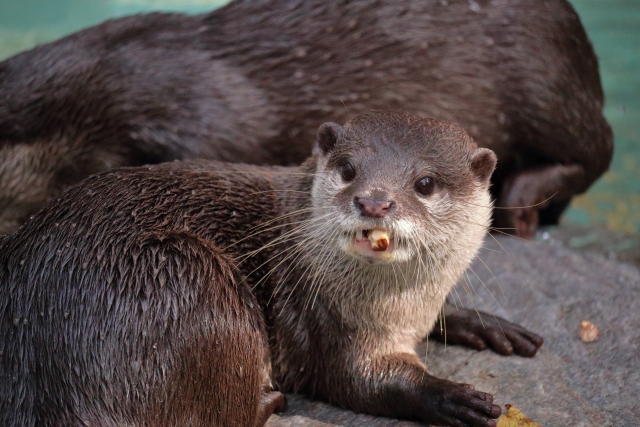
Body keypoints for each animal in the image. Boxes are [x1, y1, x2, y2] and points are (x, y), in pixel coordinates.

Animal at [0, 112, 544, 426]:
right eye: (348, 169)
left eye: (425, 183)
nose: (373, 201)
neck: (402, 309)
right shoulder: (332, 325)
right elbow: (362, 381)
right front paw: (456, 398)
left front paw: (490, 326)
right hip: (190, 284)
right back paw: (270, 401)